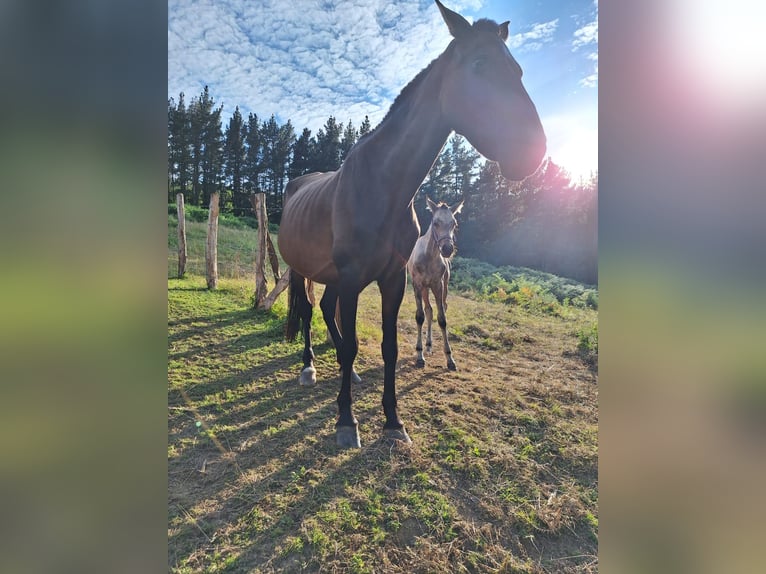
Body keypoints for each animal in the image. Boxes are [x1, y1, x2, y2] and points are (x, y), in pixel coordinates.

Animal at [407, 197, 463, 371]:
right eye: (435, 222)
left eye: (454, 224)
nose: (447, 249)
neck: (429, 256)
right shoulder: (417, 285)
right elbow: (420, 316)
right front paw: (419, 355)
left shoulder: (438, 285)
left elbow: (442, 319)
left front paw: (450, 358)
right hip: (425, 288)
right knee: (428, 310)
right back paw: (427, 345)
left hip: (442, 286)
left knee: (438, 308)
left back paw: (429, 345)